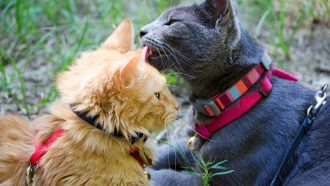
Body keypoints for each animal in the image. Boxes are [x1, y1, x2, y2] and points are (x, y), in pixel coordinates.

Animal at [141, 0, 330, 186]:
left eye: (173, 21)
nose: (142, 31)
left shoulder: (213, 177)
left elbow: (167, 177)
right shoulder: (193, 144)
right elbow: (168, 151)